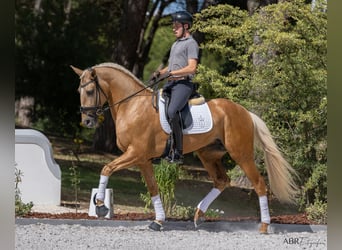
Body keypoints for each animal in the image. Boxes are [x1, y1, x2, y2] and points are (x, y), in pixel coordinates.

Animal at [71, 61, 298, 233]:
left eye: (89, 91)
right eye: (79, 91)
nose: (87, 121)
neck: (133, 105)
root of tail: (244, 112)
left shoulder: (135, 153)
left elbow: (106, 168)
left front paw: (100, 206)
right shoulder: (142, 159)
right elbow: (153, 187)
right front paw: (158, 221)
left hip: (241, 154)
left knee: (259, 184)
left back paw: (264, 226)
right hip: (208, 155)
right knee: (222, 181)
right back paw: (199, 214)